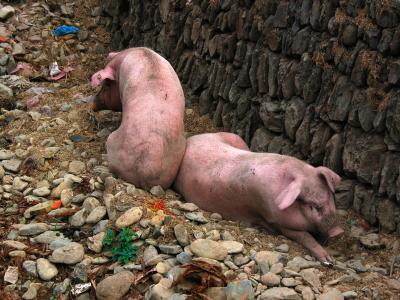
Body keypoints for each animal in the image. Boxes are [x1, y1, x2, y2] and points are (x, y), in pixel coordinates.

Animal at [174, 132, 344, 264]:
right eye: (311, 205)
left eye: (330, 196)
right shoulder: (275, 219)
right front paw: (329, 261)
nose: (338, 231)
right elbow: (304, 235)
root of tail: (191, 139)